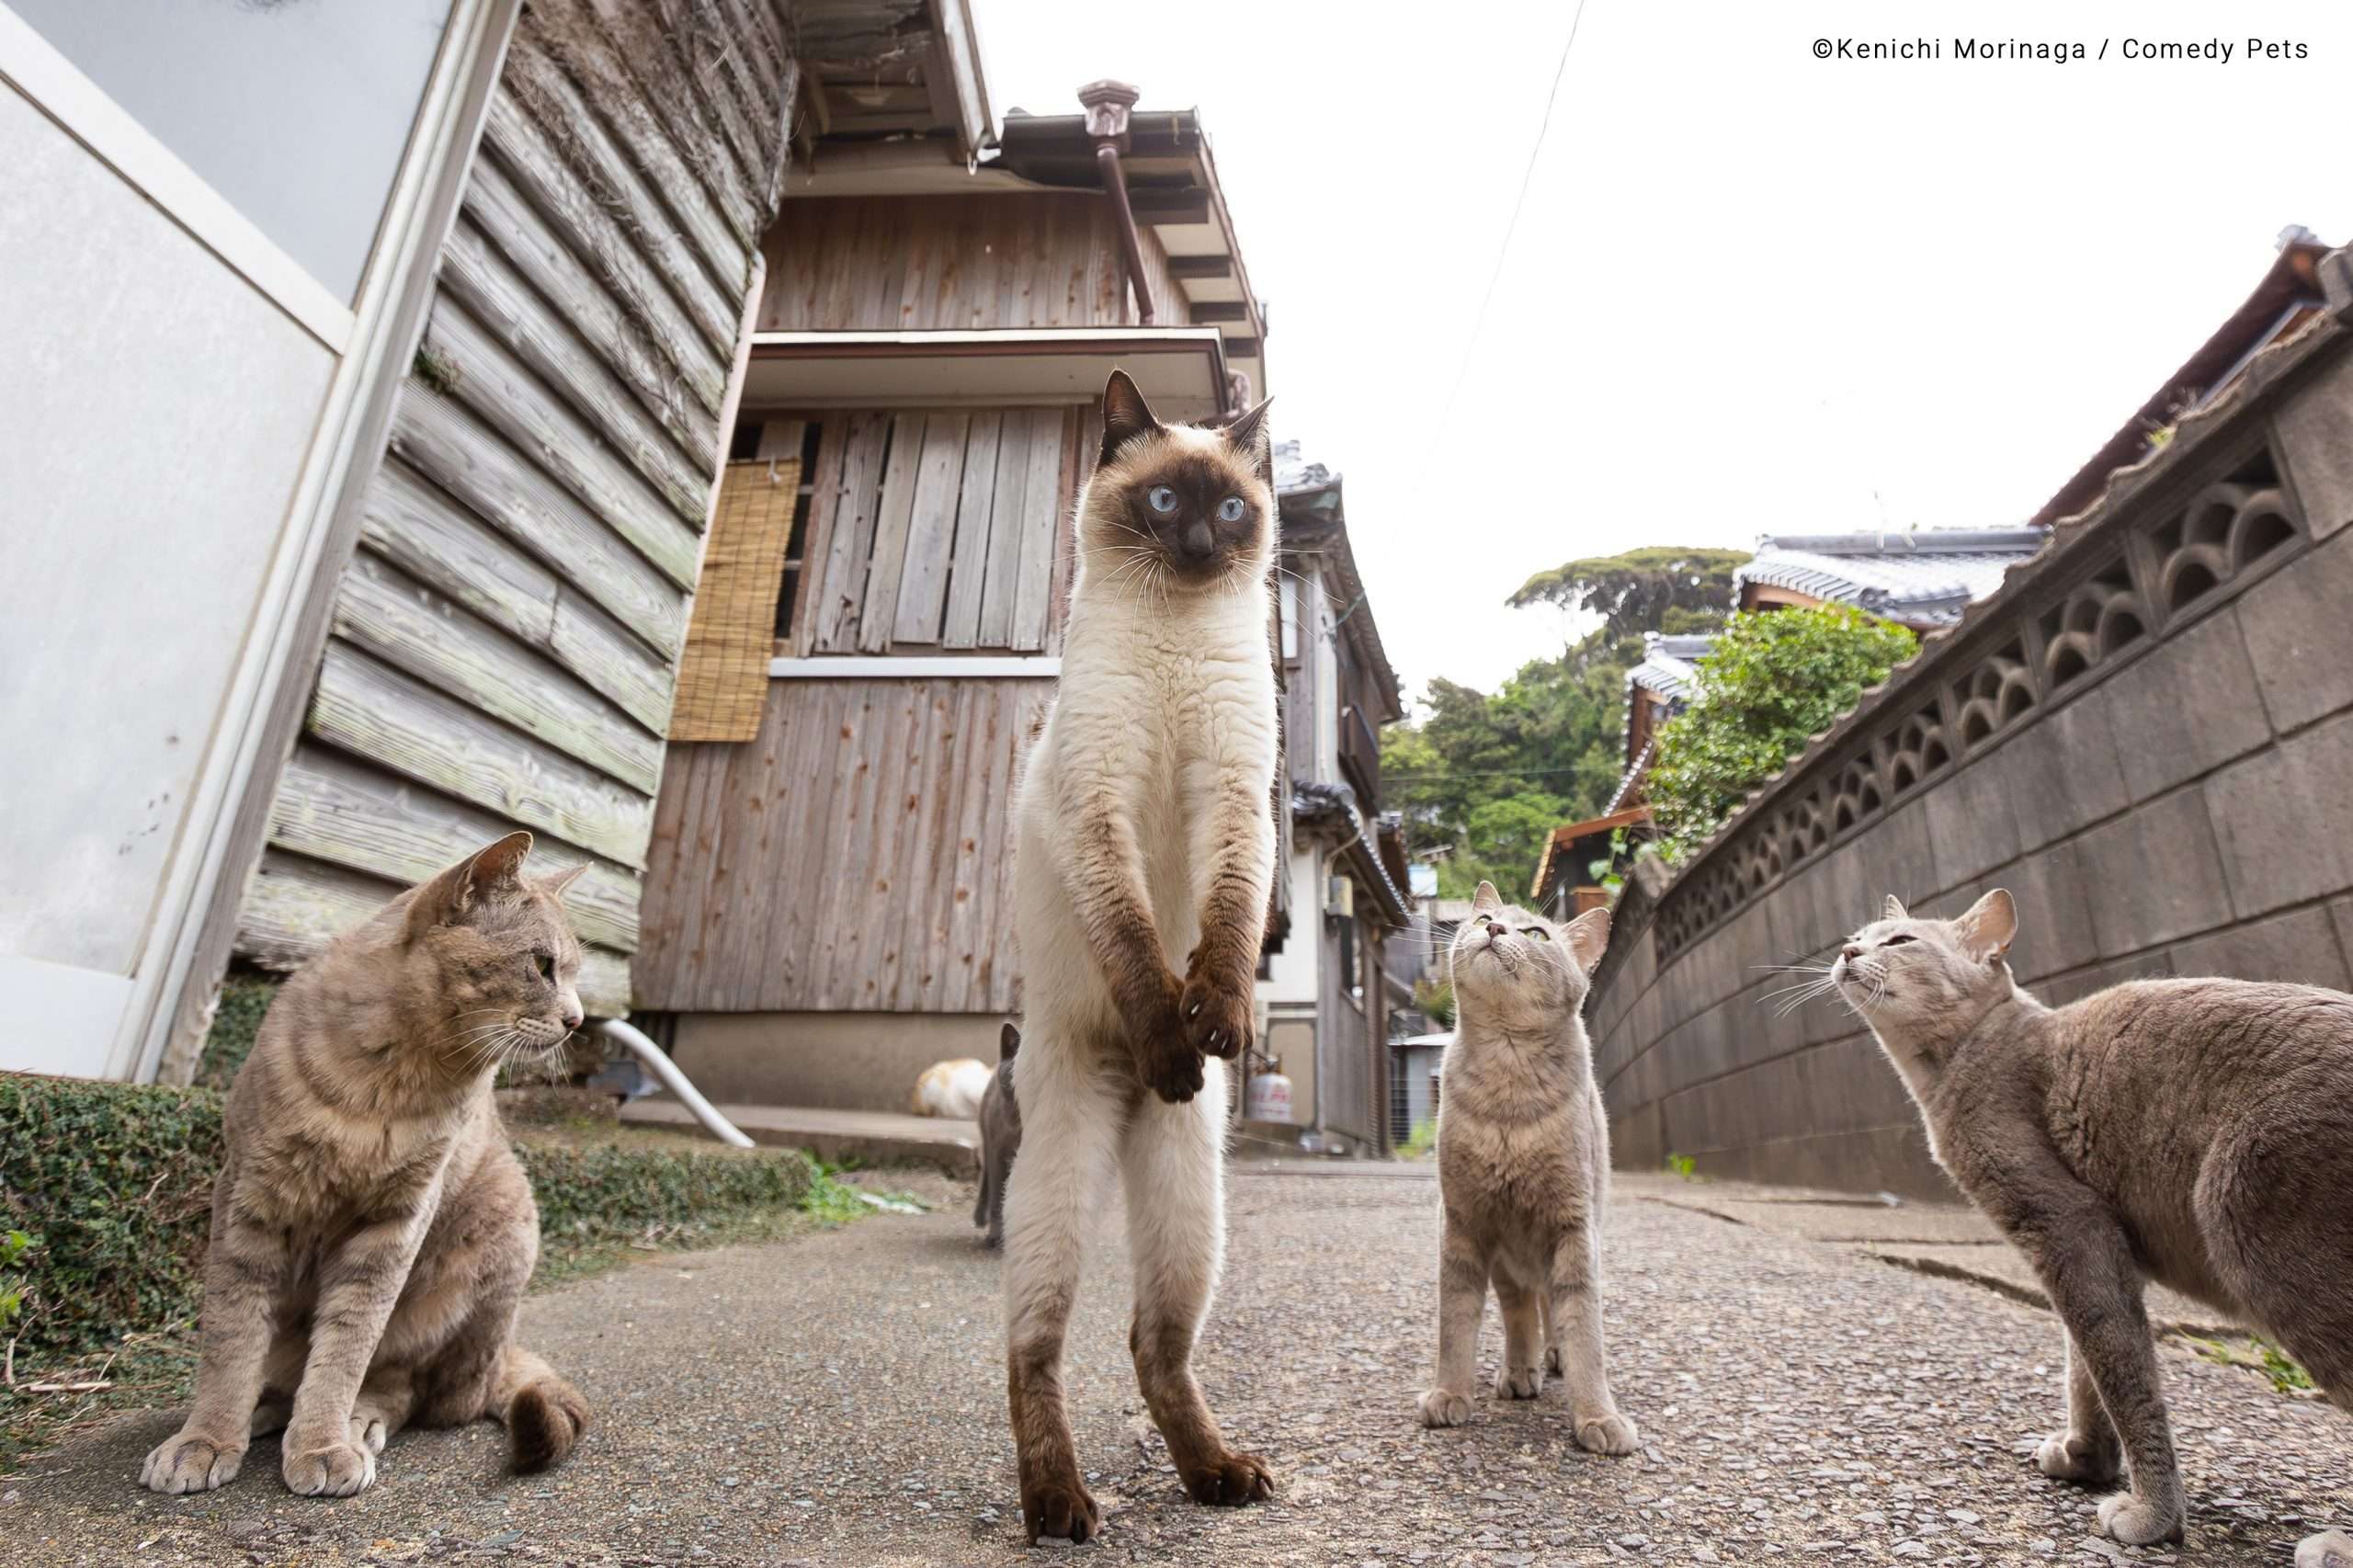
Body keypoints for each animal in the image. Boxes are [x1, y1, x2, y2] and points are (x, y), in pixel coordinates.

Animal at [145, 828, 593, 1487]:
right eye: (542, 965)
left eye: (573, 973)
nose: (577, 1019)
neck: (390, 1081)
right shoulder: (248, 1202)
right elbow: (231, 1340)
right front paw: (206, 1438)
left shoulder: (394, 1224)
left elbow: (347, 1346)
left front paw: (323, 1442)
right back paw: (266, 1408)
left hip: (499, 1240)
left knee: (411, 1390)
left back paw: (356, 1422)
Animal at [1412, 870, 1637, 1449]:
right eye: (1482, 919)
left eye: (1536, 933)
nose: (1492, 928)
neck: (1507, 1085)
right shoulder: (1463, 1222)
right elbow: (1456, 1325)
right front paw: (1449, 1394)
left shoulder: (1574, 1226)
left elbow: (1584, 1330)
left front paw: (1598, 1417)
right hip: (1508, 1259)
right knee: (1520, 1313)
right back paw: (1519, 1371)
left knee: (1552, 1310)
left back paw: (1551, 1357)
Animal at [1835, 885, 2353, 1553]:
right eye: (1857, 937)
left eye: (1900, 941)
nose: (1847, 952)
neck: (1957, 1061)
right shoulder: (2097, 1246)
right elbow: (2085, 1361)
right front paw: (2084, 1458)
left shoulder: (2067, 1222)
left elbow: (2119, 1372)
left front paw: (2151, 1515)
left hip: (2261, 1236)